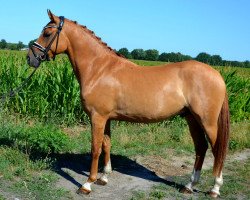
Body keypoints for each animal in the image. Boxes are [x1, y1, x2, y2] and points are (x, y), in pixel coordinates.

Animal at [26, 10, 229, 198]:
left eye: (47, 33)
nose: (30, 58)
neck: (99, 69)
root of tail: (217, 75)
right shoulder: (106, 118)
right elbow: (106, 144)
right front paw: (104, 178)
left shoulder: (97, 117)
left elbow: (95, 148)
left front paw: (87, 184)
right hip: (191, 119)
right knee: (201, 148)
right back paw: (189, 186)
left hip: (207, 122)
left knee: (217, 149)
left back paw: (215, 189)